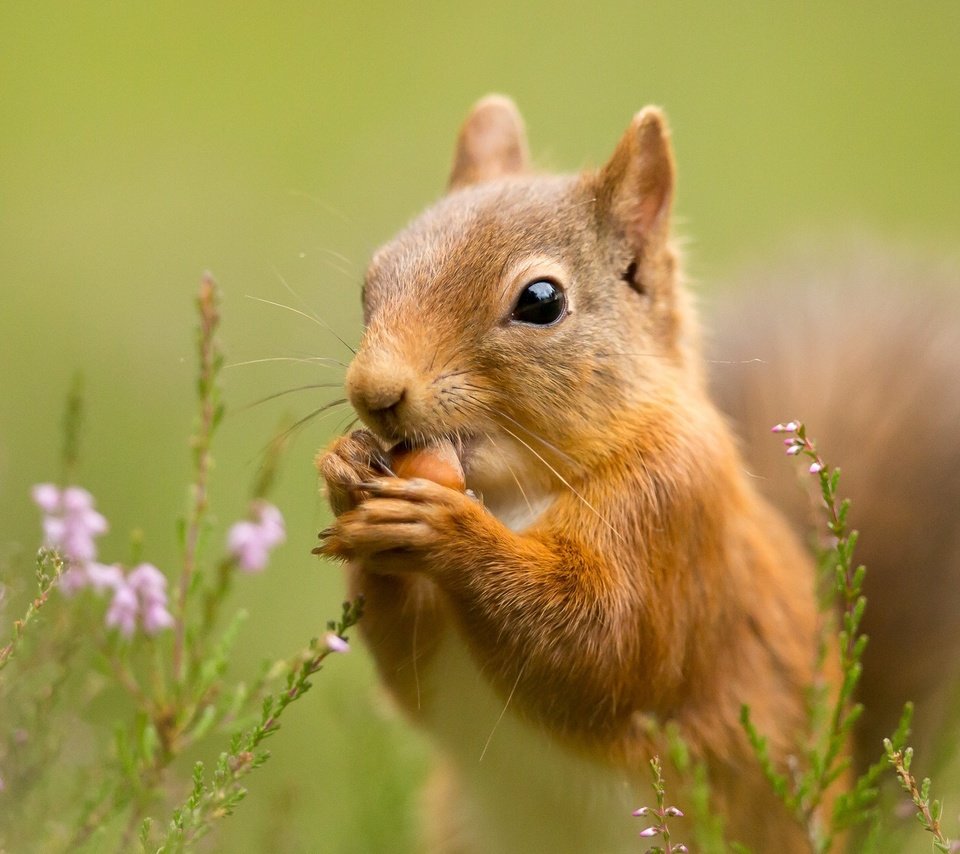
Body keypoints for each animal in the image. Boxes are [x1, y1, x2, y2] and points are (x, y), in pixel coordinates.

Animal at [316, 97, 960, 852]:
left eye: (541, 301)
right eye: (371, 279)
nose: (374, 392)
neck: (513, 493)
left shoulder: (672, 514)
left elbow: (600, 646)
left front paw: (444, 529)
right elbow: (411, 670)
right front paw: (345, 471)